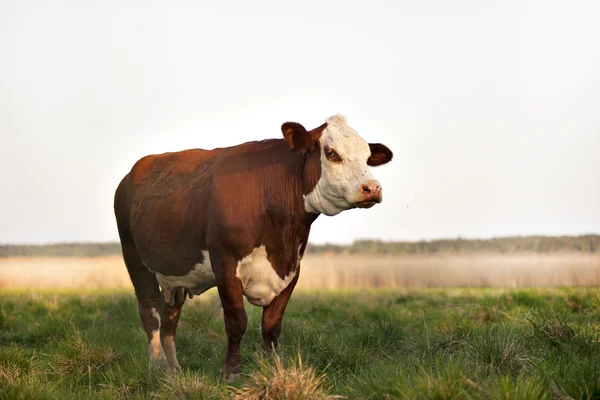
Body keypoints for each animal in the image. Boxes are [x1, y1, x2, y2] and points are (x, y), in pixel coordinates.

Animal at [113, 112, 394, 378]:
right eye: (331, 152)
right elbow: (236, 320)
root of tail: (131, 175)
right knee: (150, 312)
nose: (372, 187)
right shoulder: (225, 263)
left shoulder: (291, 269)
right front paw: (231, 370)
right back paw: (156, 367)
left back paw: (173, 371)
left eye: (367, 156)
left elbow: (271, 325)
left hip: (176, 274)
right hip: (135, 258)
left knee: (170, 317)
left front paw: (272, 366)